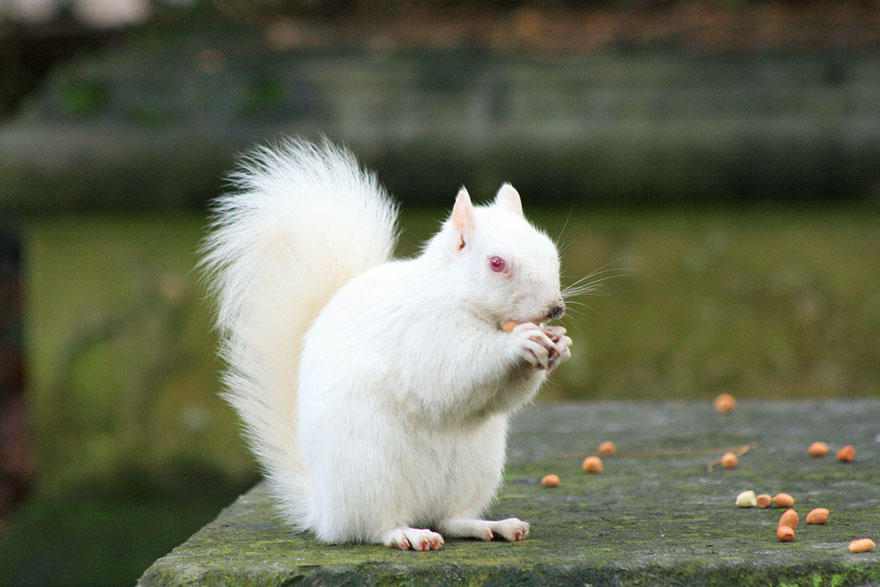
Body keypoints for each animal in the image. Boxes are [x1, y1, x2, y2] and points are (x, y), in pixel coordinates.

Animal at [199, 137, 572, 552]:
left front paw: (559, 344)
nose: (554, 308)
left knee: (449, 518)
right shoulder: (424, 332)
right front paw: (518, 343)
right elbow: (453, 369)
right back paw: (407, 534)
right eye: (496, 263)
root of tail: (324, 510)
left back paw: (491, 525)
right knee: (374, 526)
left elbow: (501, 397)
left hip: (475, 470)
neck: (458, 296)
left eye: (549, 249)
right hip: (370, 473)